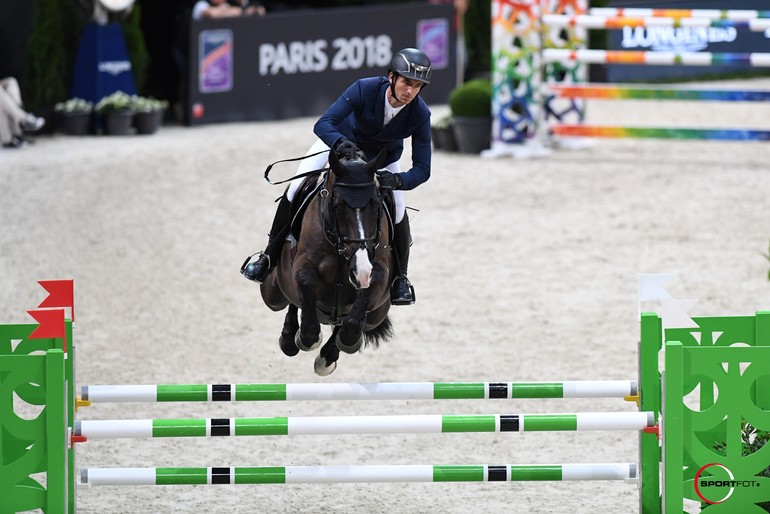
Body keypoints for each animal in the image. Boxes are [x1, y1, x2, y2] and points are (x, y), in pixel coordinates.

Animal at [260, 146, 396, 374]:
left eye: (376, 204)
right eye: (338, 205)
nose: (360, 270)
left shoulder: (378, 270)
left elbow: (353, 321)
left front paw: (336, 350)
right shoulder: (303, 264)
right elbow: (306, 280)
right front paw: (306, 339)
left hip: (376, 316)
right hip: (272, 294)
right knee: (289, 301)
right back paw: (289, 338)